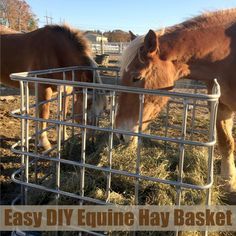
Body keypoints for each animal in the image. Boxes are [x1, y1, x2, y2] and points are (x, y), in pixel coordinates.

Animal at [115, 9, 236, 193]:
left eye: (136, 77)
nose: (120, 135)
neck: (227, 55)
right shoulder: (220, 105)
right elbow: (226, 142)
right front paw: (229, 180)